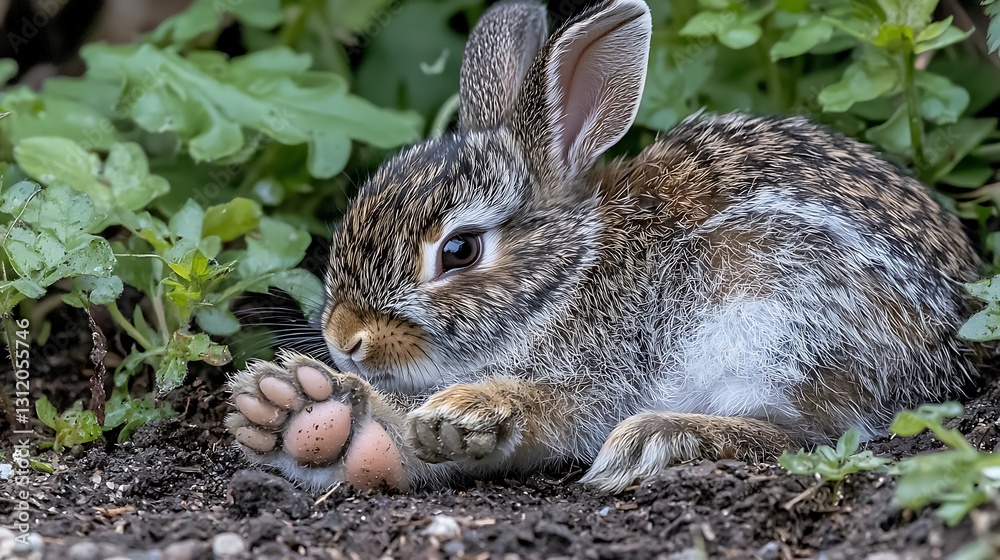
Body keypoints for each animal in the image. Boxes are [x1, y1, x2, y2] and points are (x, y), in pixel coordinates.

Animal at [226, 0, 985, 494]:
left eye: (460, 251)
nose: (344, 338)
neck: (564, 279)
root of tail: (955, 346)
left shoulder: (607, 365)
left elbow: (549, 409)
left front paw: (467, 407)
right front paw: (296, 411)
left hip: (780, 306)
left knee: (811, 433)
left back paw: (656, 440)